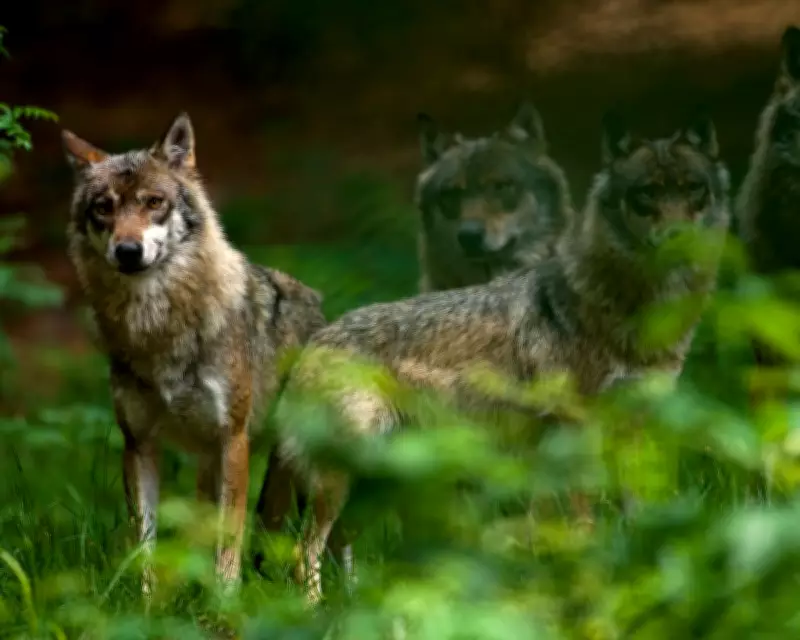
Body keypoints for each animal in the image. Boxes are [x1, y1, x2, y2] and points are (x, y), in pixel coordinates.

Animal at [62, 113, 326, 594]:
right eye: (104, 208)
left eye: (154, 202)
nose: (127, 251)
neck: (158, 327)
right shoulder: (139, 443)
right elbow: (145, 544)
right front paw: (148, 604)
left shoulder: (233, 440)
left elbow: (230, 539)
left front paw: (225, 602)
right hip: (211, 465)